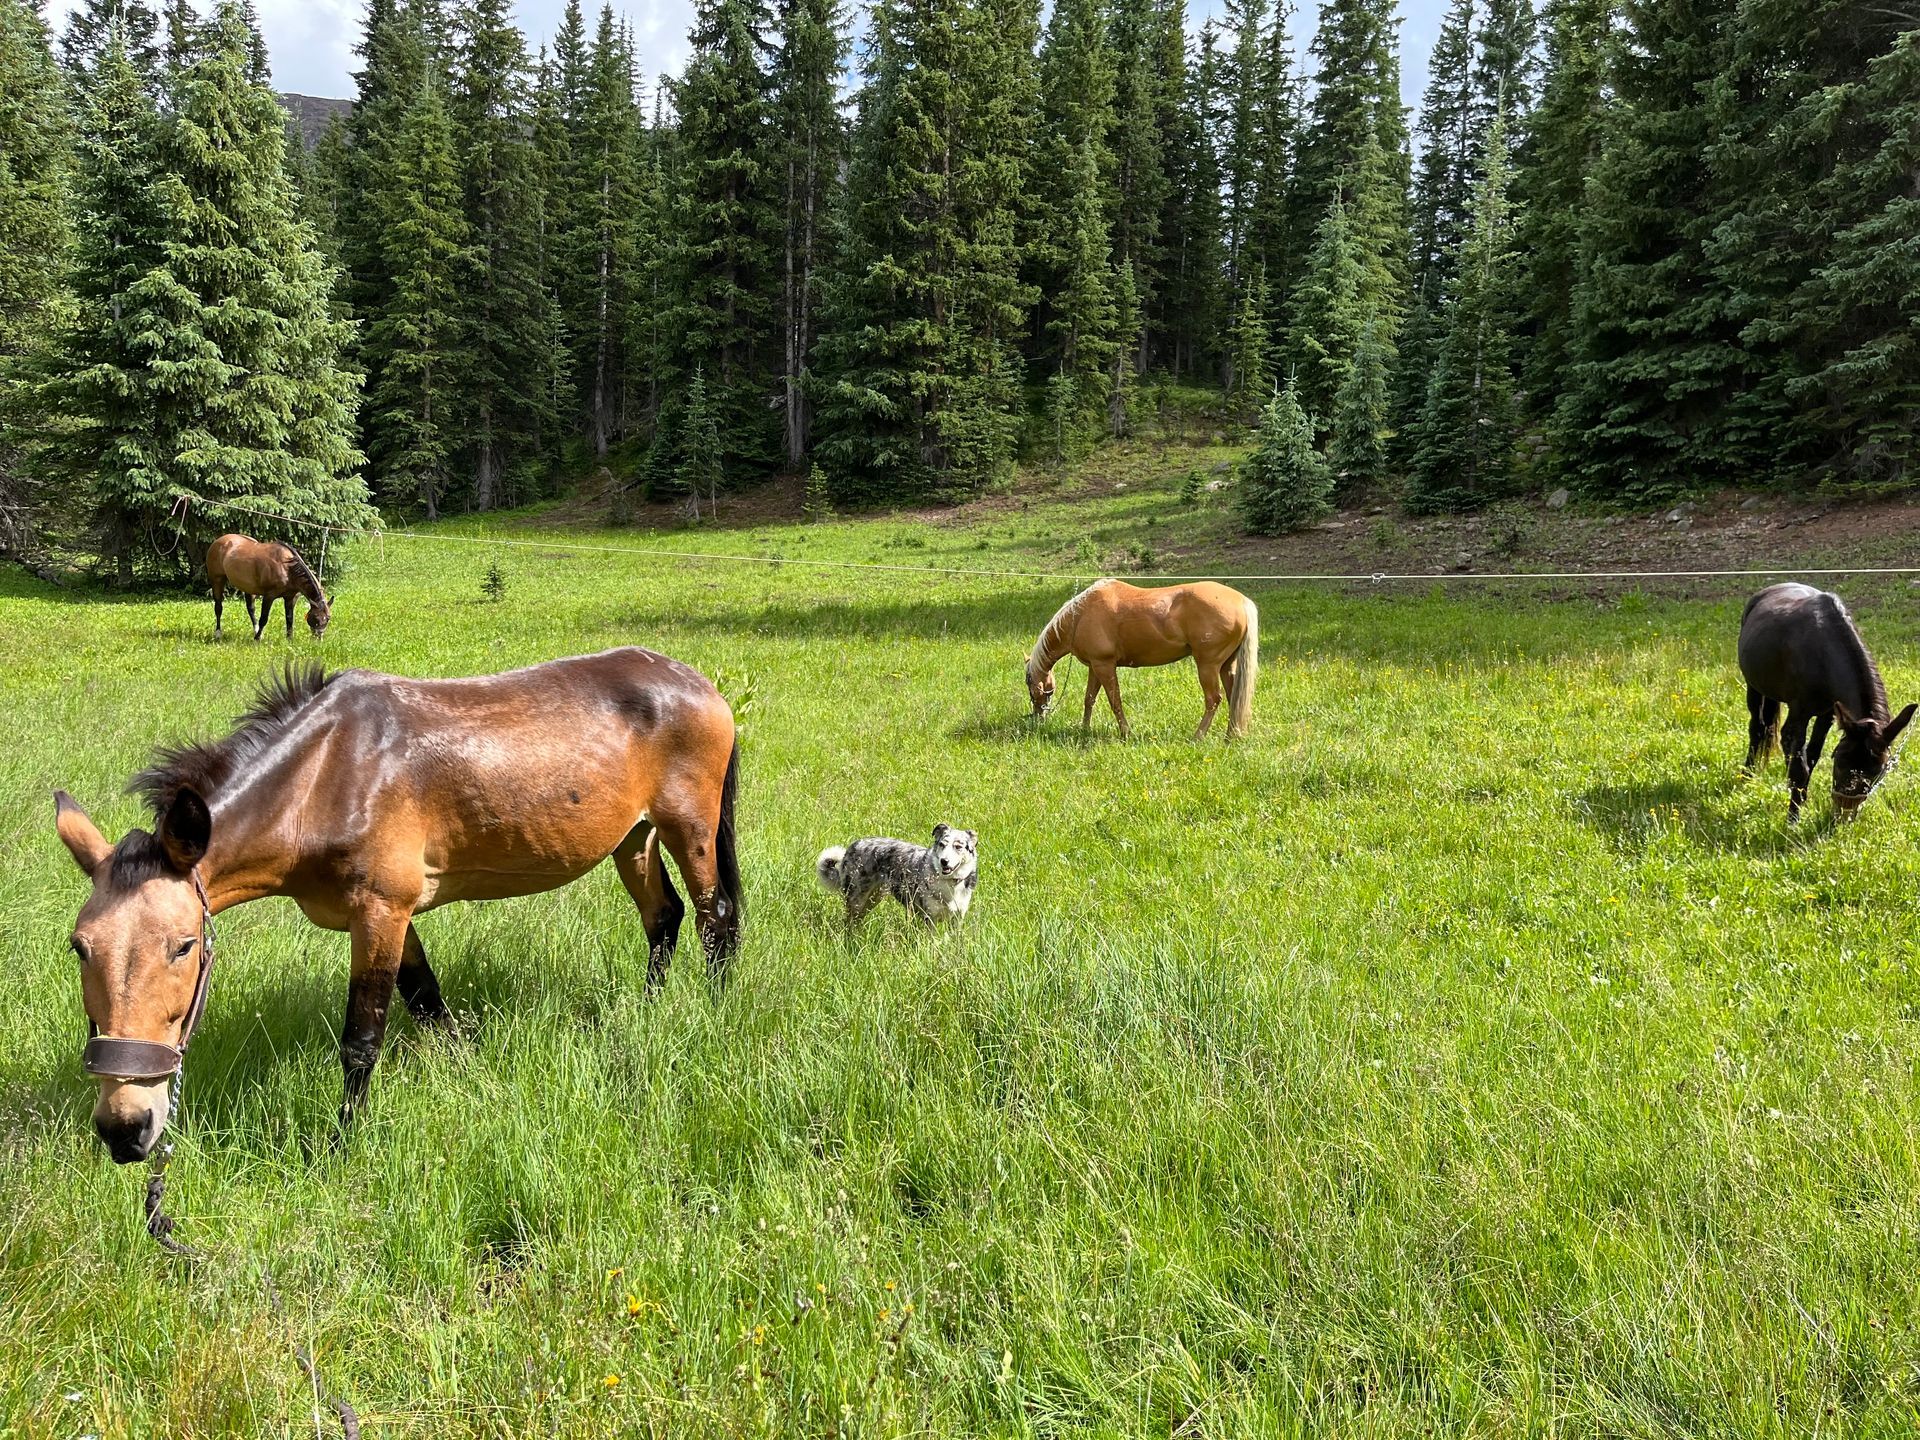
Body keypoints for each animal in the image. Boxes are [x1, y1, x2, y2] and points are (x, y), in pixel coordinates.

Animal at [53, 650, 742, 1164]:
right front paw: (469, 1075)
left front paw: (337, 1150)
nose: (124, 1127)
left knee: (716, 919)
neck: (325, 776)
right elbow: (428, 1003)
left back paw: (714, 1011)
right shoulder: (393, 918)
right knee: (664, 918)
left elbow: (362, 1039)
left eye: (184, 946)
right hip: (633, 837)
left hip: (689, 828)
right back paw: (648, 1011)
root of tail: (699, 683)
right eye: (80, 947)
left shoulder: (381, 911)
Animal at [1025, 579, 1259, 740]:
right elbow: (1089, 699)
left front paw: (1126, 733)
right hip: (1226, 666)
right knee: (1233, 697)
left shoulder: (1105, 665)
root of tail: (1242, 601)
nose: (1038, 717)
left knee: (1213, 700)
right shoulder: (1095, 667)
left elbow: (1115, 701)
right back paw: (1231, 736)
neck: (1080, 616)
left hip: (1208, 666)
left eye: (1029, 684)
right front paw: (1084, 729)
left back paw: (1197, 737)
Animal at [1738, 582, 1915, 821]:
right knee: (1757, 729)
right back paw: (1747, 775)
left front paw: (1801, 797)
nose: (1843, 813)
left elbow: (1811, 756)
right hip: (1754, 687)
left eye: (1877, 772)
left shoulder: (1828, 714)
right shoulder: (1800, 714)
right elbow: (1799, 764)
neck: (1822, 653)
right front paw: (1793, 816)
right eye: (1839, 762)